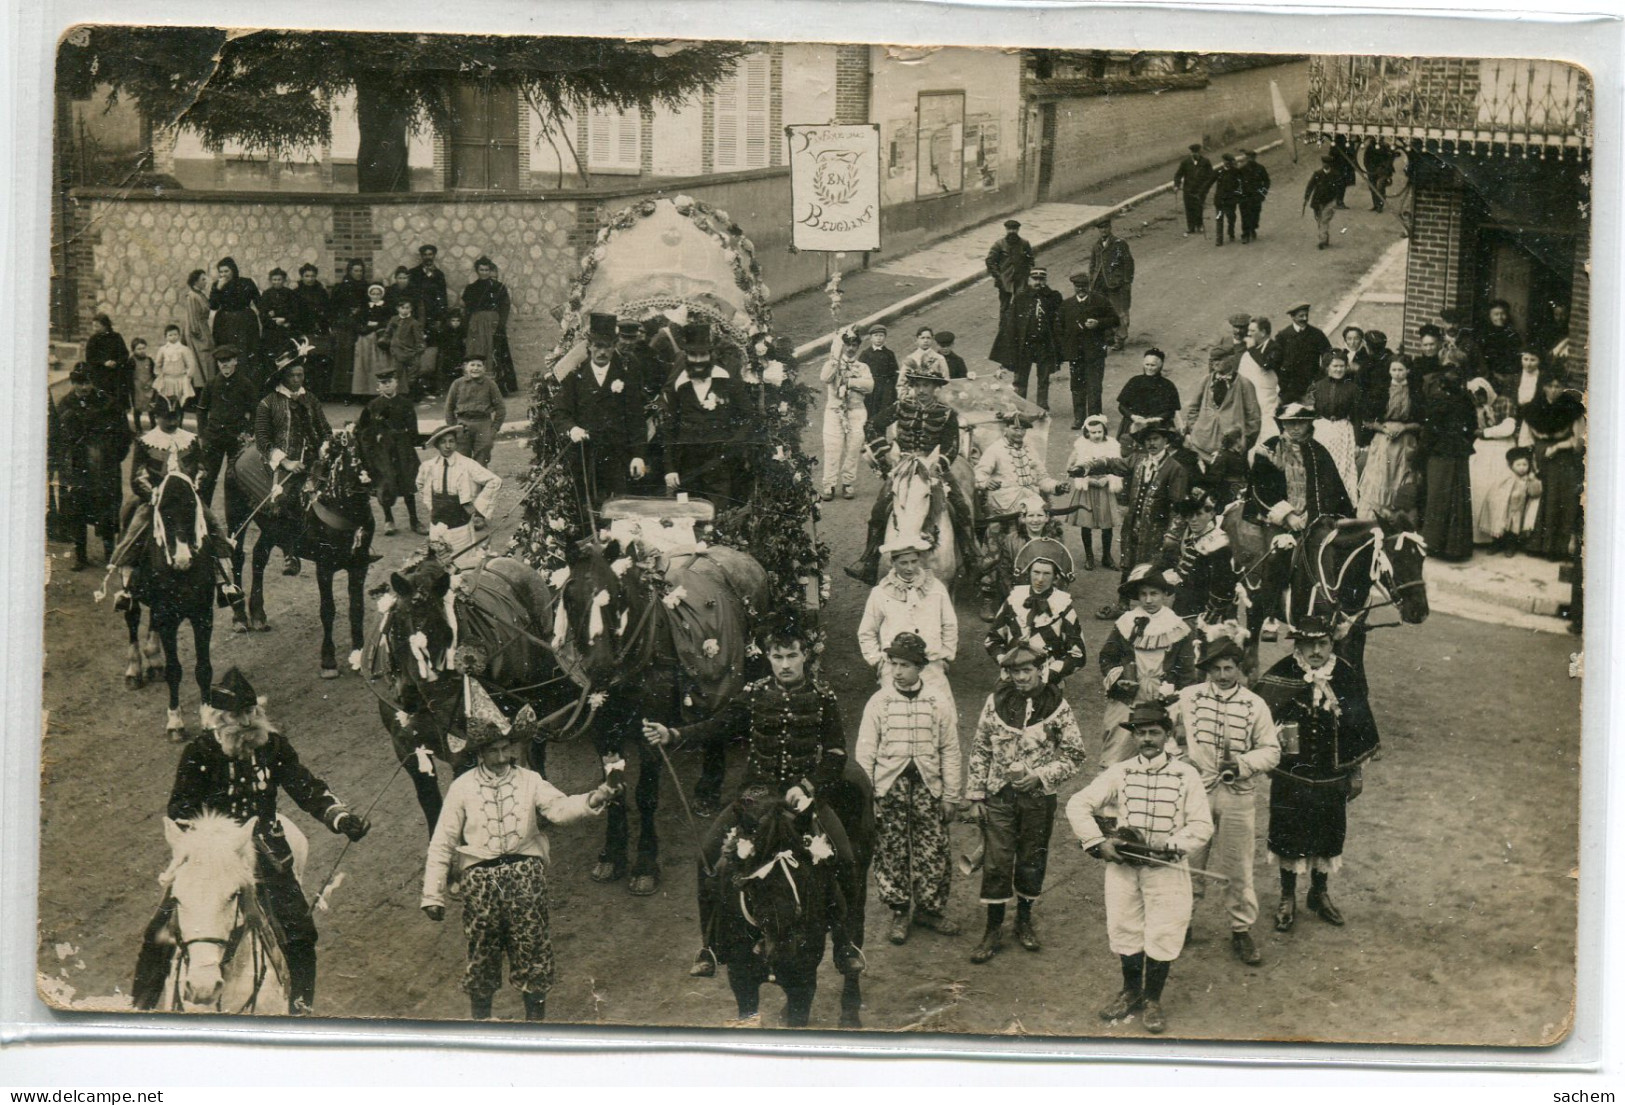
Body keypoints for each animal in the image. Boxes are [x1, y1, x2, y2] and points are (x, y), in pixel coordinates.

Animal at [235, 429, 373, 672]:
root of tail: (245, 445)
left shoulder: (359, 565)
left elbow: (357, 609)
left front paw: (358, 655)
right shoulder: (324, 567)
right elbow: (327, 609)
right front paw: (328, 660)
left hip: (271, 529)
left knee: (259, 556)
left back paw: (258, 614)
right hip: (237, 513)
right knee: (237, 557)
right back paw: (240, 617)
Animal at [372, 555, 581, 832]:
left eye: (447, 633)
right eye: (397, 626)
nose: (412, 699)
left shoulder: (464, 754)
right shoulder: (407, 750)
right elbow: (431, 805)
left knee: (535, 743)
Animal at [552, 542, 767, 897]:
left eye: (617, 595)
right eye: (569, 597)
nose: (599, 668)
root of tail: (737, 554)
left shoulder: (649, 731)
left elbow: (645, 794)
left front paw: (644, 864)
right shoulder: (603, 731)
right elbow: (615, 789)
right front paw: (611, 855)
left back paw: (709, 790)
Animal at [718, 786, 877, 1027]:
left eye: (805, 877)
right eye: (756, 882)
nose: (784, 949)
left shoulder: (803, 982)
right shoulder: (740, 978)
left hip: (856, 893)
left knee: (854, 936)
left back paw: (850, 1014)